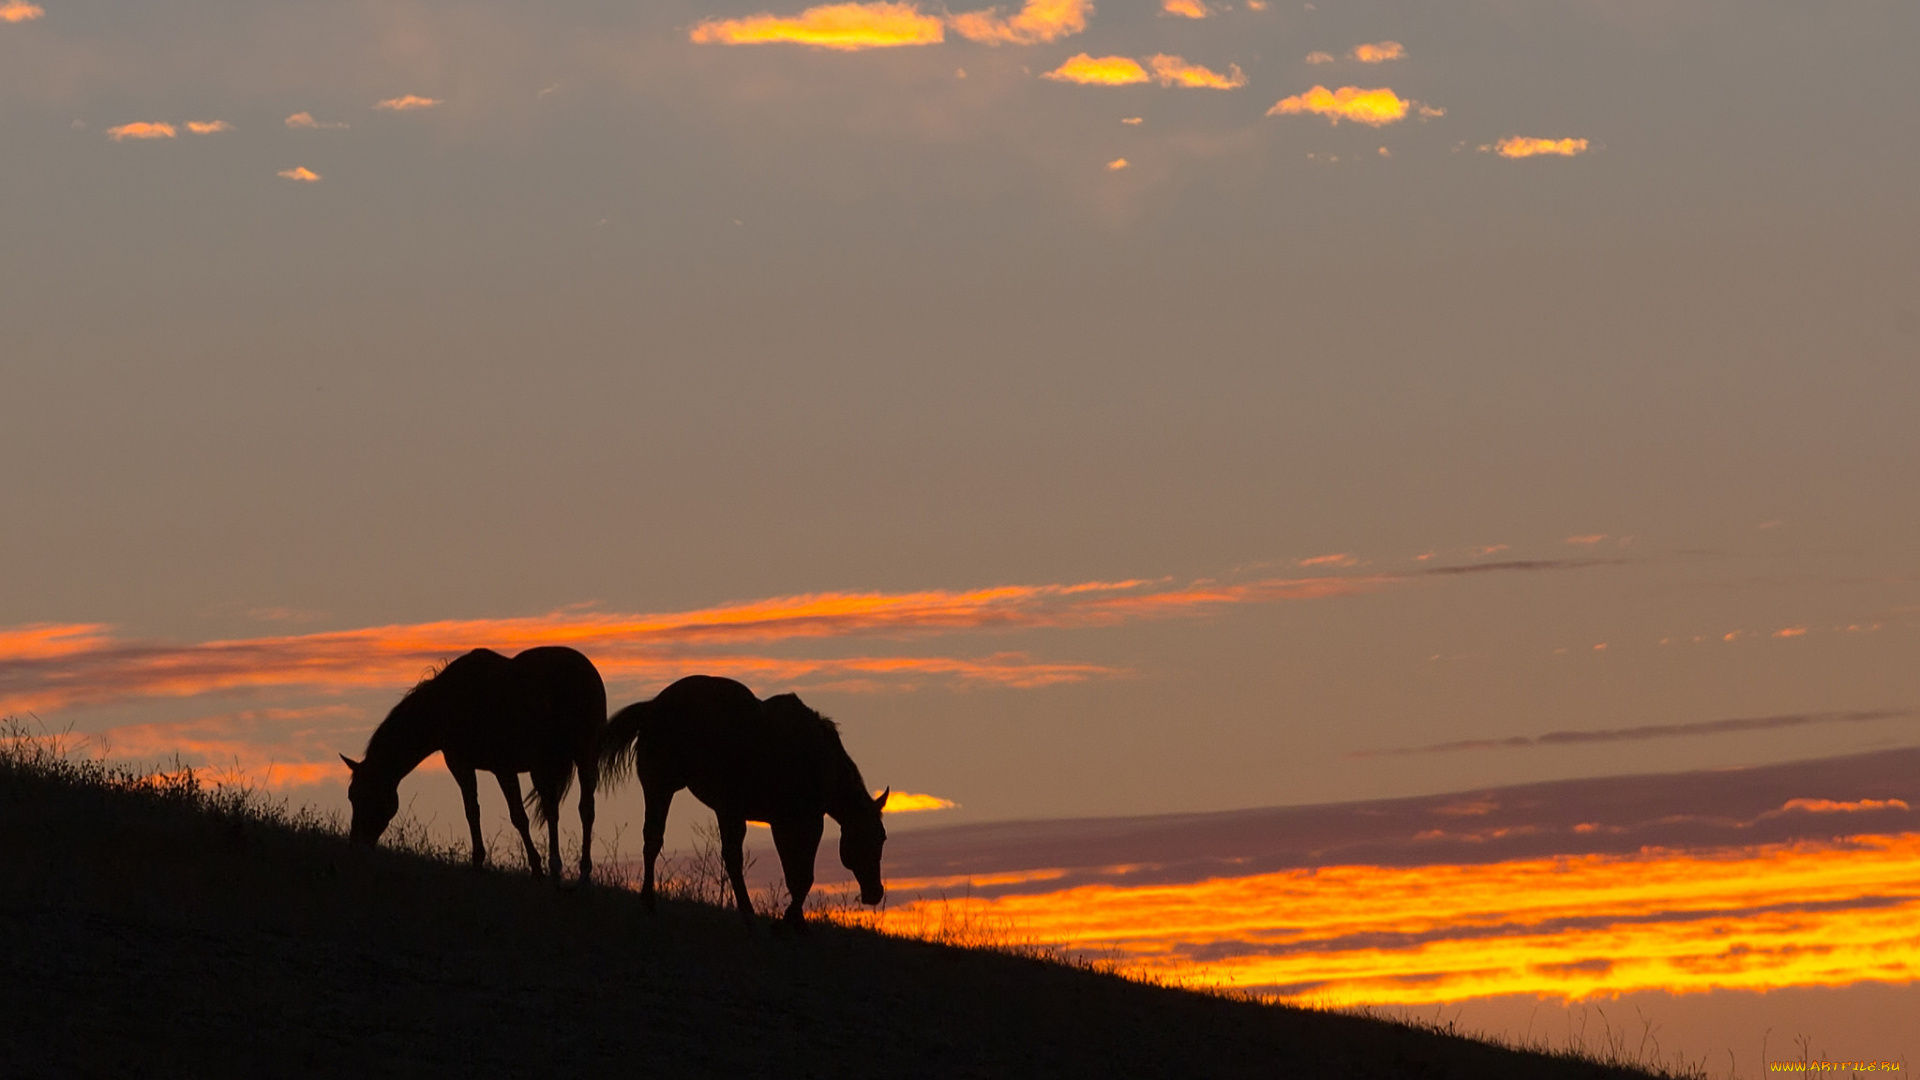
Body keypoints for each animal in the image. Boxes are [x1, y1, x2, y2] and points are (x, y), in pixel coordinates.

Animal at [341, 641, 602, 880]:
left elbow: (508, 815)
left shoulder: (481, 766)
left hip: (555, 761)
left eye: (362, 795)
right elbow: (477, 811)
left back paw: (562, 868)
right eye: (351, 796)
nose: (355, 844)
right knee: (581, 809)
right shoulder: (478, 767)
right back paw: (578, 873)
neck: (446, 704)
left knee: (559, 809)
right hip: (578, 757)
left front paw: (532, 868)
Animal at [595, 672, 887, 926]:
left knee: (666, 843)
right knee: (673, 844)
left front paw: (796, 923)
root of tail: (653, 706)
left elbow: (793, 874)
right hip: (664, 787)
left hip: (696, 801)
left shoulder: (779, 823)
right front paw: (787, 923)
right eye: (878, 837)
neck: (822, 760)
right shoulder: (803, 822)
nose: (876, 893)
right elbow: (803, 877)